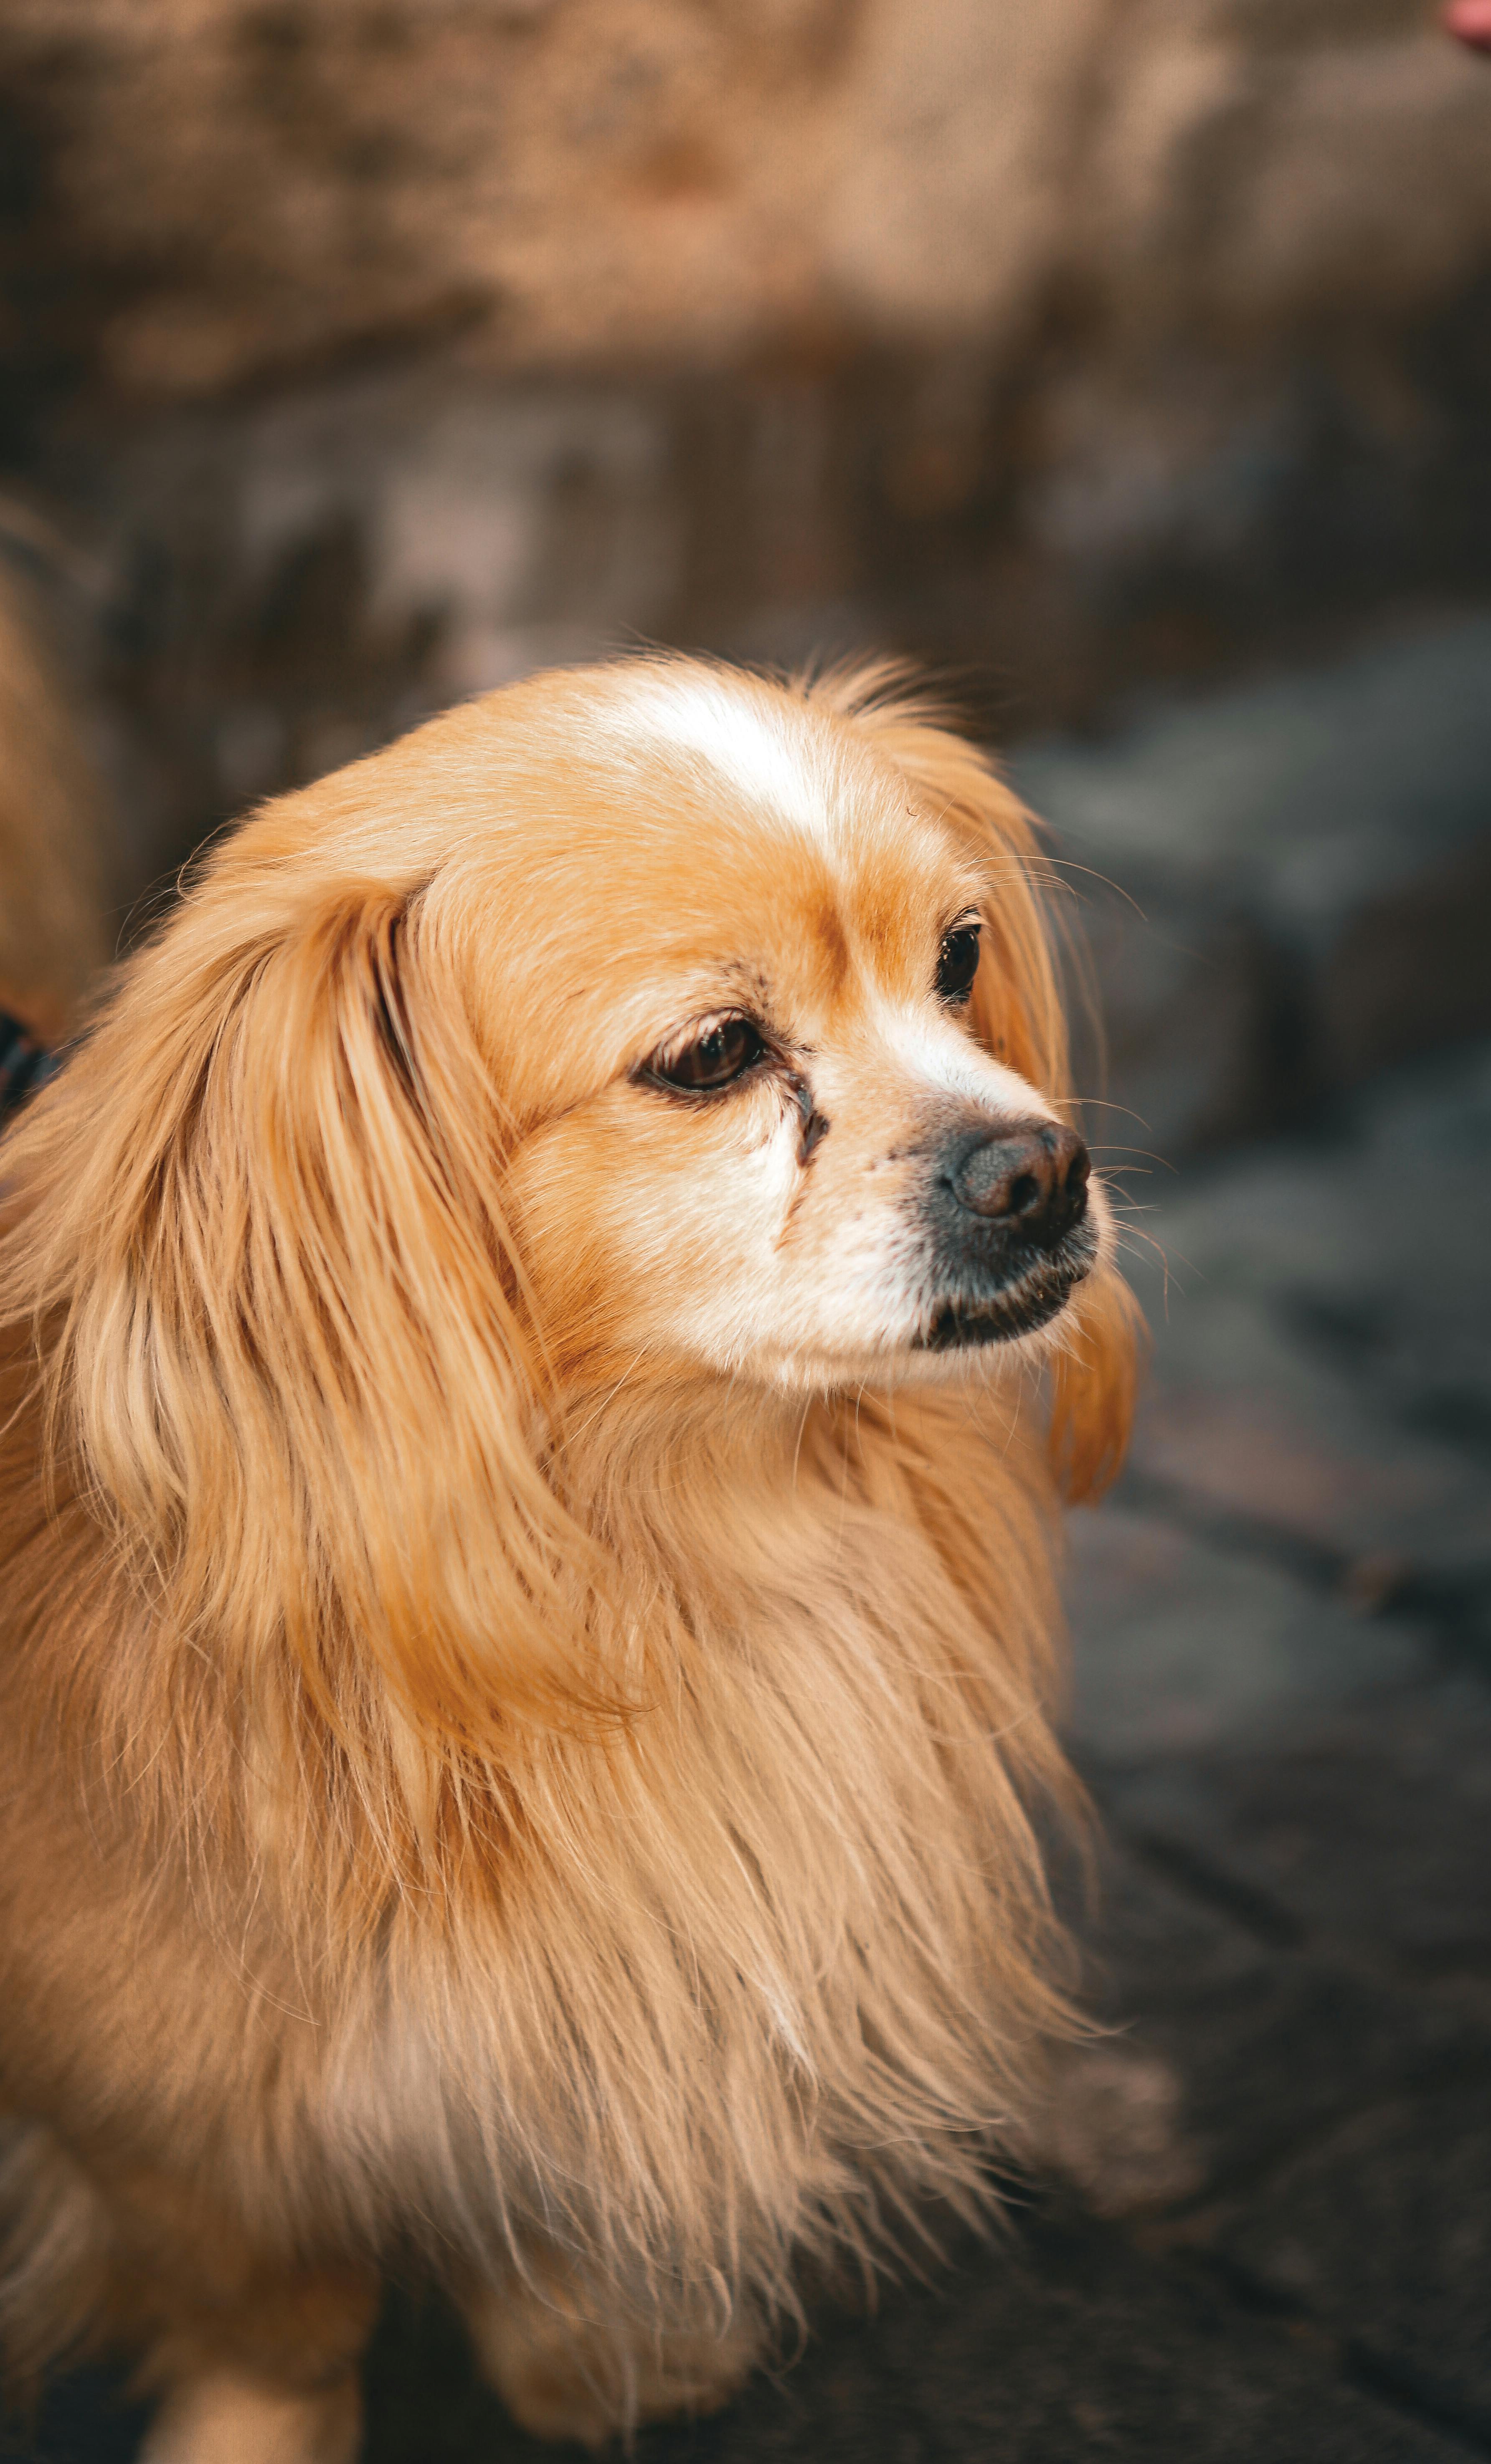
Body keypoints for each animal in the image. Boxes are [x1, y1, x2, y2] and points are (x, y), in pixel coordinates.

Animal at [0, 660, 1128, 2464]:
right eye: (712, 1054)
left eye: (957, 958)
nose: (1040, 1165)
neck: (671, 1548)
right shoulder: (164, 2123)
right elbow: (277, 2319)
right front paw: (263, 2429)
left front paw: (589, 2343)